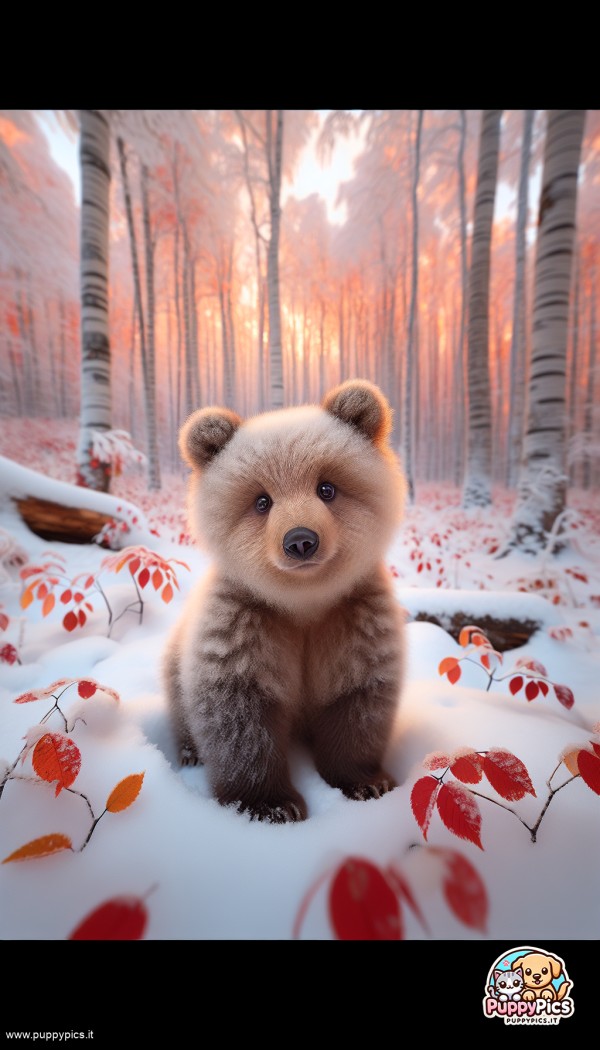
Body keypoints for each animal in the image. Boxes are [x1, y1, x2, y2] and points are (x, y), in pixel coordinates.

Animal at [163, 379, 407, 824]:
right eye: (262, 501)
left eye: (326, 487)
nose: (301, 540)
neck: (304, 605)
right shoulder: (246, 621)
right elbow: (239, 719)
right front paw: (271, 805)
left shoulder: (353, 616)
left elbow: (359, 702)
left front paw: (367, 782)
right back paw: (189, 752)